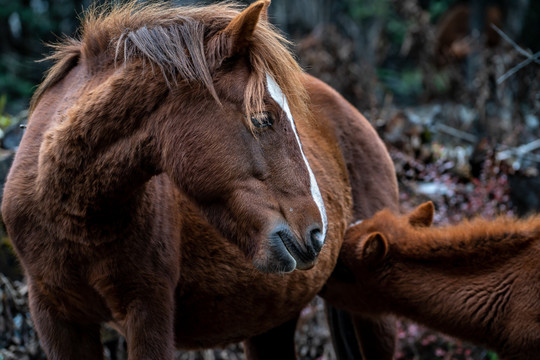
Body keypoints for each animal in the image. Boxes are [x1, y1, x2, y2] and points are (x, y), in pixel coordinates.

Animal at [2, 1, 398, 358]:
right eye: (262, 119)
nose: (318, 233)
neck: (72, 212)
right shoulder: (55, 317)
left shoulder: (148, 312)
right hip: (273, 321)